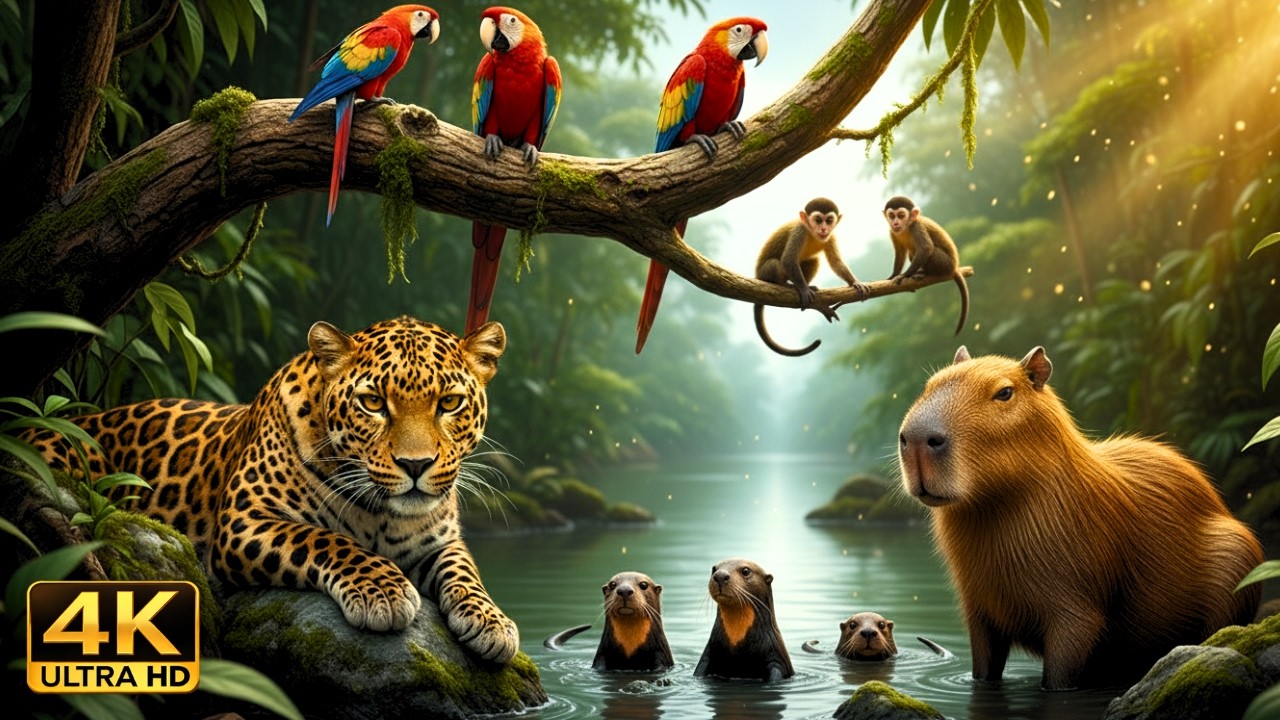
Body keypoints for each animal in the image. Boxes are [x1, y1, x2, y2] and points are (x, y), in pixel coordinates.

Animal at [27, 315, 520, 664]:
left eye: (449, 403)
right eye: (373, 403)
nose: (415, 465)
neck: (381, 514)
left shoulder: (438, 541)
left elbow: (464, 570)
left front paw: (492, 621)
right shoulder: (246, 519)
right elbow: (326, 539)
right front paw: (382, 590)